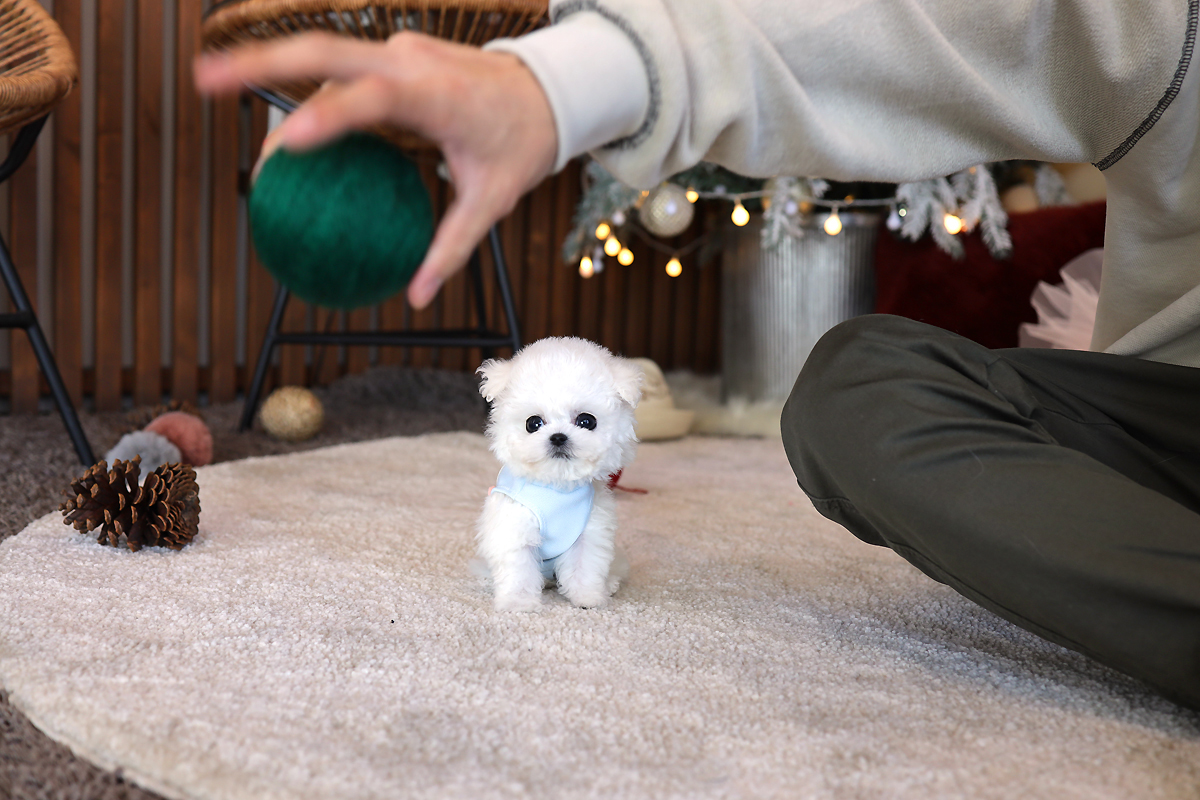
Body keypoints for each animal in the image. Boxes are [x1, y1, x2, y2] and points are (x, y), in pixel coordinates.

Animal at [477, 338, 648, 614]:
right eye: (533, 423)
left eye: (587, 421)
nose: (558, 437)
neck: (556, 487)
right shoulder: (516, 529)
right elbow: (518, 572)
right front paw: (518, 603)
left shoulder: (588, 534)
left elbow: (584, 568)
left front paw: (587, 597)